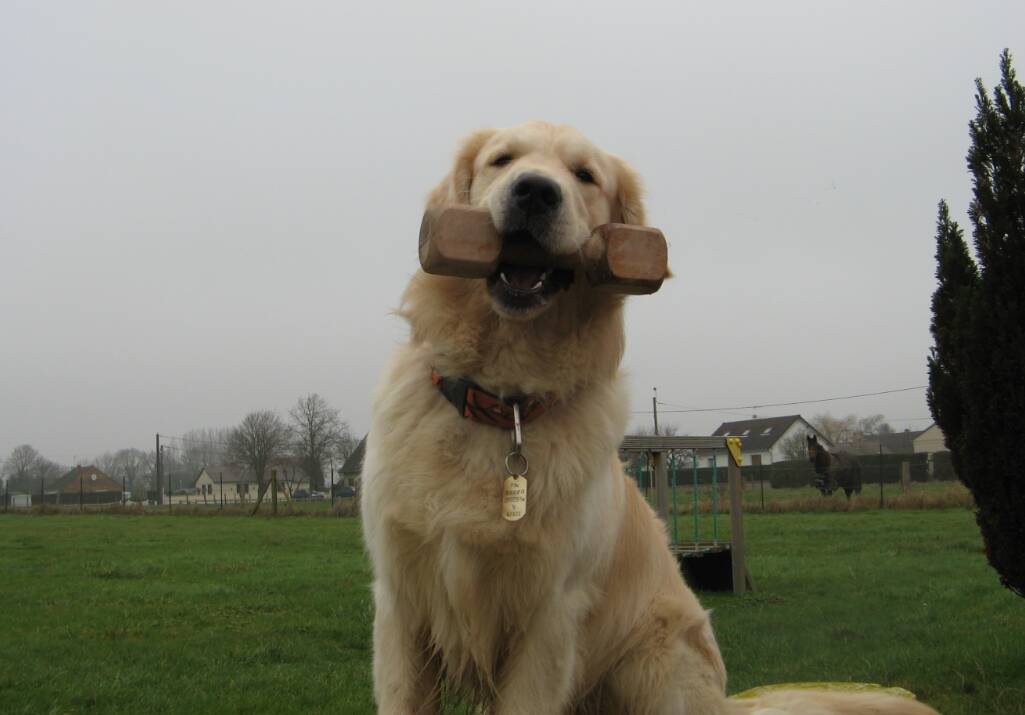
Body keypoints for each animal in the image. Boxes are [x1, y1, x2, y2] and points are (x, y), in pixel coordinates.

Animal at [360, 122, 938, 712]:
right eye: (503, 160)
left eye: (584, 175)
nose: (536, 192)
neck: (506, 403)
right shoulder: (401, 604)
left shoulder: (549, 617)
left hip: (655, 661)